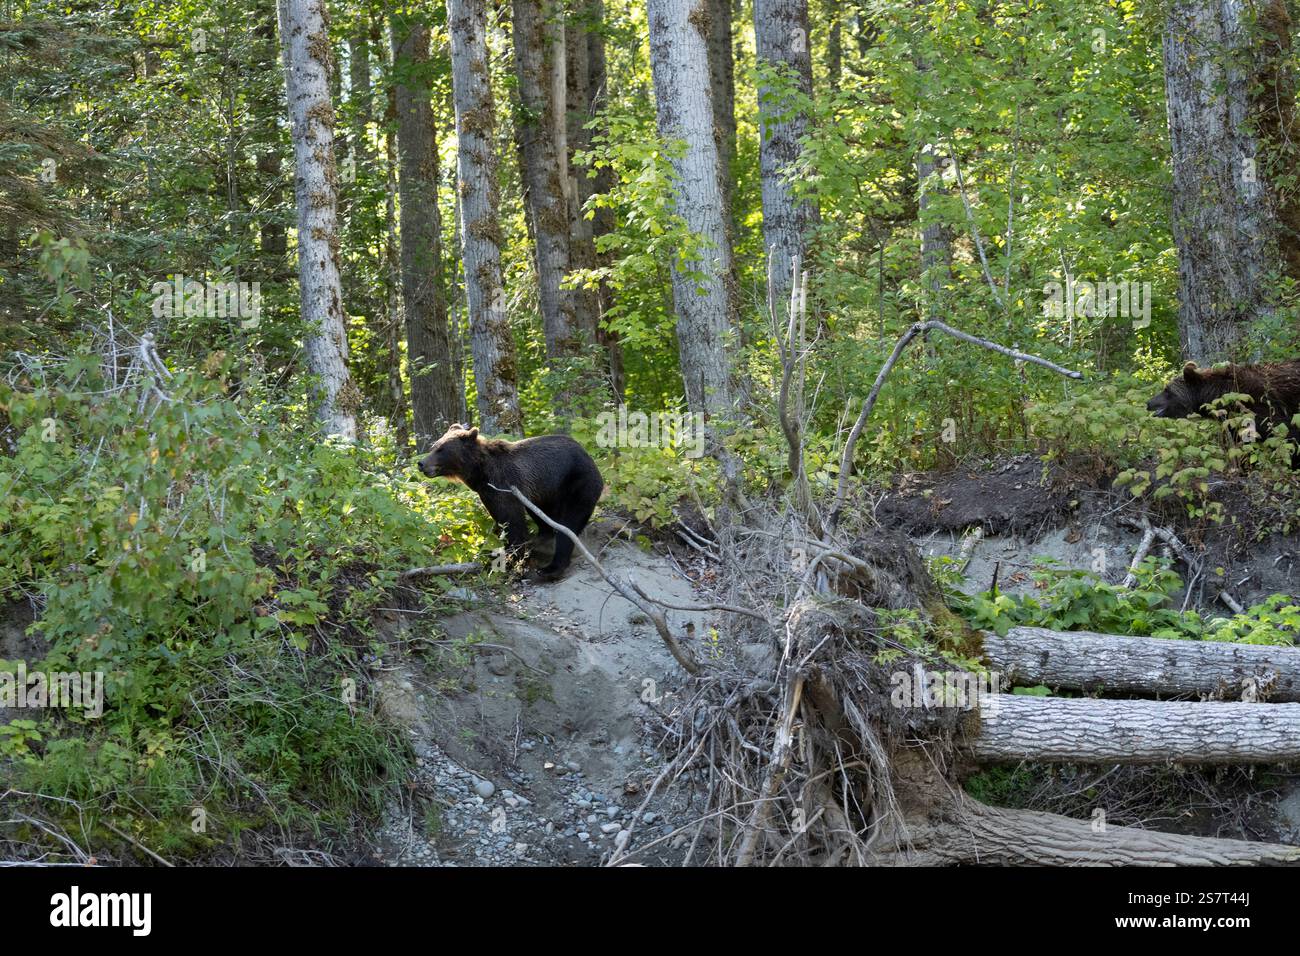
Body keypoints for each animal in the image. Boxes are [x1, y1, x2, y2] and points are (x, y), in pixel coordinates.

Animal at [419, 424, 604, 581]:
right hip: (545, 493)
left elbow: (512, 522)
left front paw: (511, 561)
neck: (479, 473)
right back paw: (542, 537)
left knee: (569, 523)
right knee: (543, 515)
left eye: (442, 449)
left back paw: (550, 568)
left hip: (577, 481)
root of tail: (586, 453)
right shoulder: (488, 493)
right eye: (434, 446)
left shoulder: (504, 486)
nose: (421, 463)